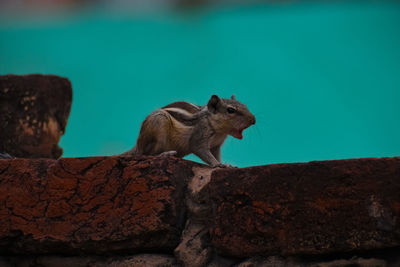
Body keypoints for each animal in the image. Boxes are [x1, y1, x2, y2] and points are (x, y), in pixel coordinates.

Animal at [121, 94, 256, 168]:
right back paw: (165, 154)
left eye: (245, 105)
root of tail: (137, 144)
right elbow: (199, 149)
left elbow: (216, 155)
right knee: (145, 154)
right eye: (231, 110)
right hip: (158, 123)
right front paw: (217, 164)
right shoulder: (199, 136)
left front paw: (226, 164)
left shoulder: (216, 145)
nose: (253, 120)